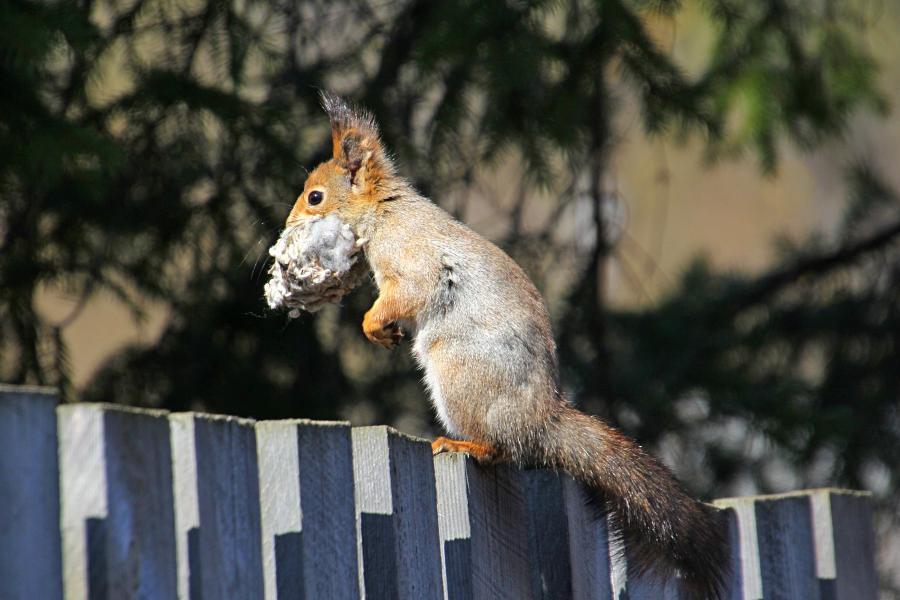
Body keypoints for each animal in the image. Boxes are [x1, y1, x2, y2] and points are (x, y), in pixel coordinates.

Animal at [286, 91, 732, 596]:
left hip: (459, 377)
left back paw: (464, 446)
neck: (385, 210)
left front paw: (372, 325)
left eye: (316, 196)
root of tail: (538, 419)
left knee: (501, 449)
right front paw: (386, 333)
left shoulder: (412, 262)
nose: (289, 224)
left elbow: (406, 294)